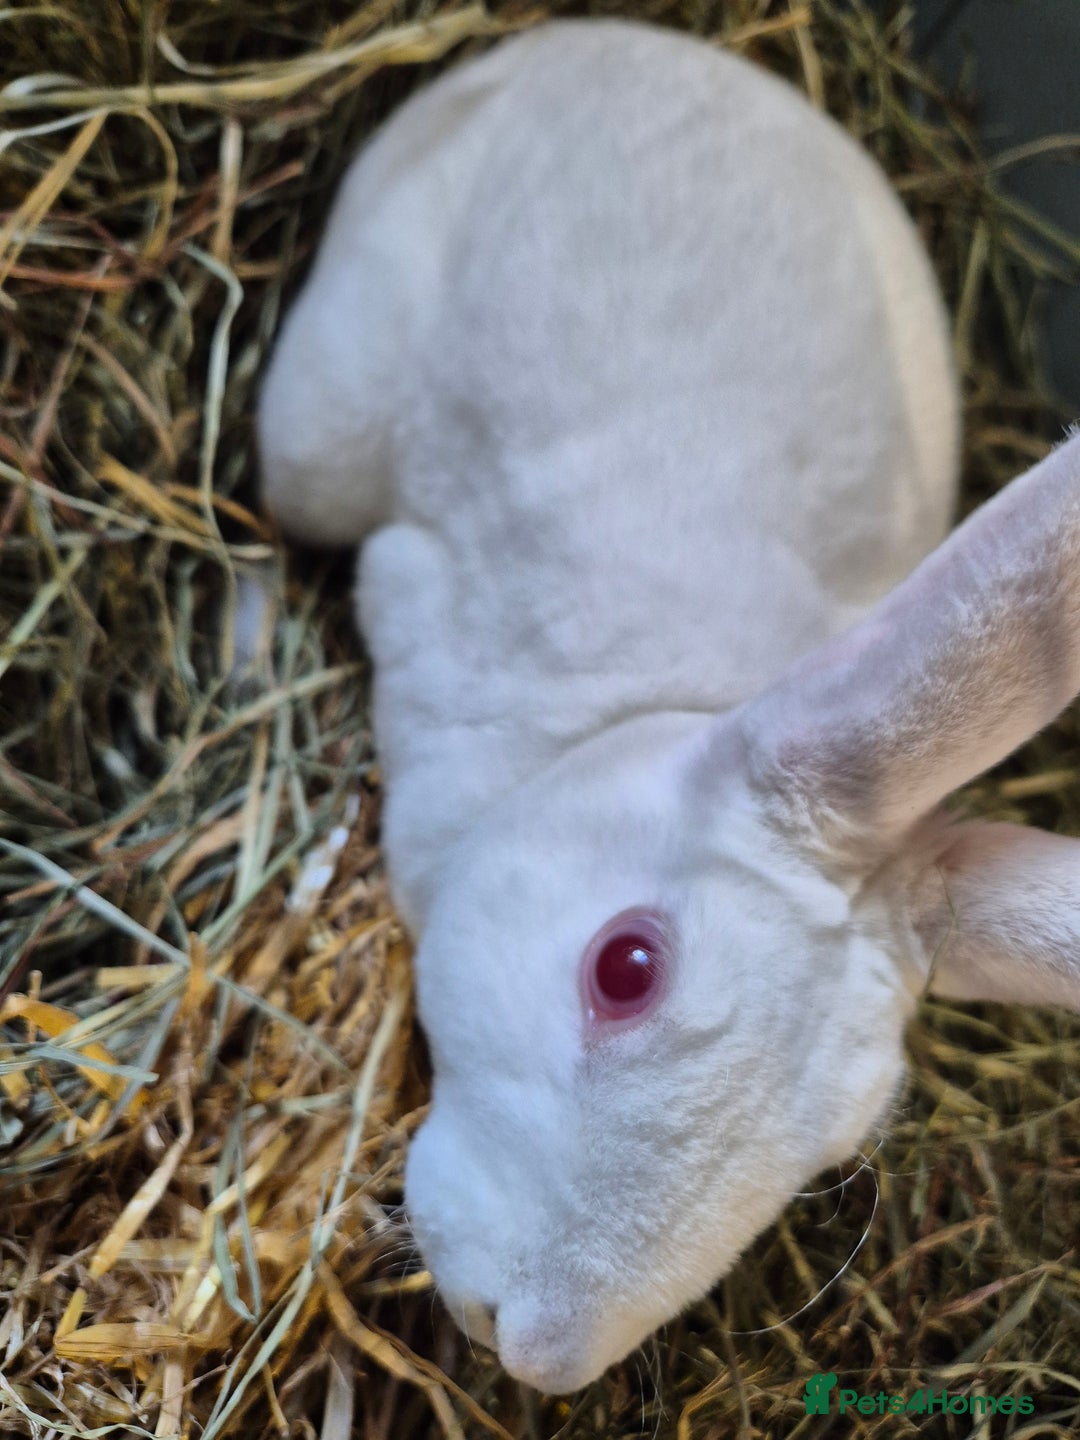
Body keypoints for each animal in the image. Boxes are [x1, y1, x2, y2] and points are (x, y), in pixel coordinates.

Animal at [258, 17, 1080, 1395]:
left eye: (831, 1149)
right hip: (315, 422)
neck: (626, 723)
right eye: (627, 968)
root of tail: (634, 39)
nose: (532, 1347)